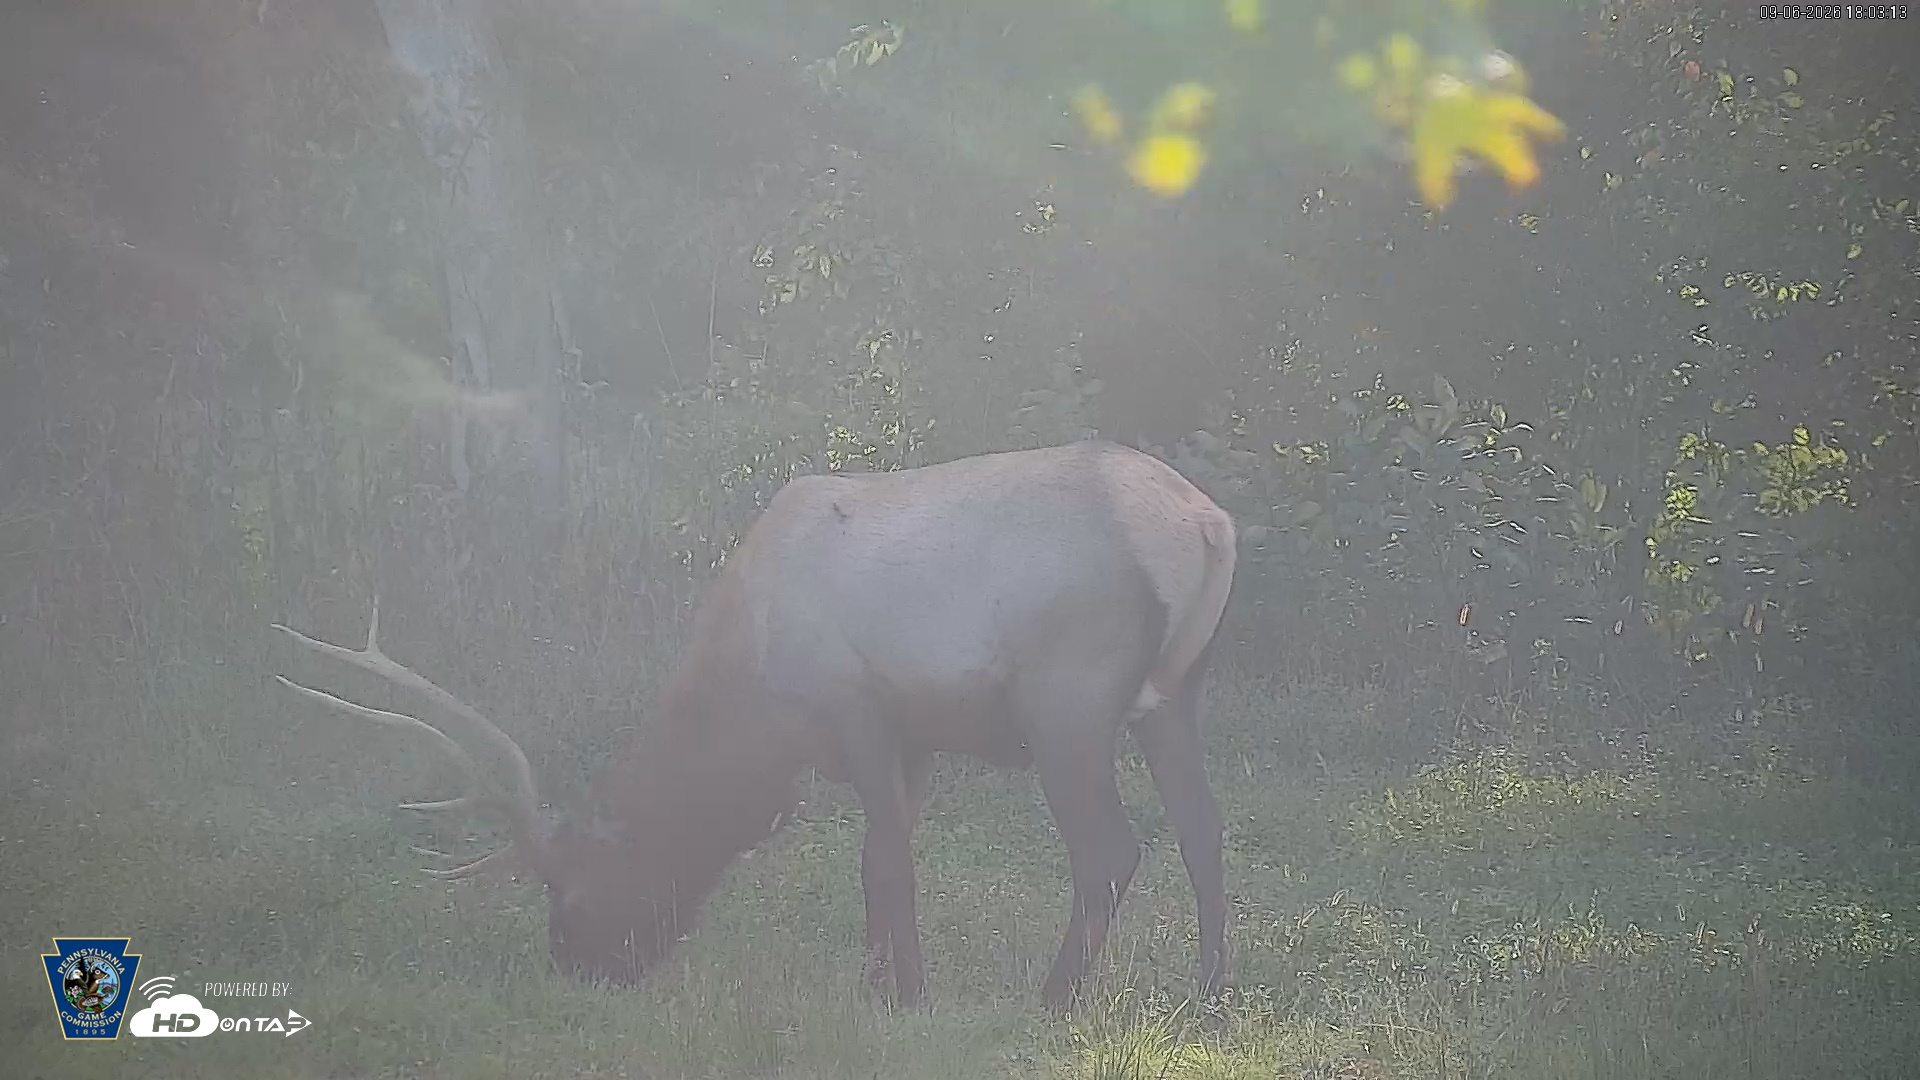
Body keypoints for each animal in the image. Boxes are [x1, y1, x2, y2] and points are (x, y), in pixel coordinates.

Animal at [273, 439, 1236, 1010]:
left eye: (572, 884)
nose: (575, 966)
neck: (751, 702)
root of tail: (1206, 525)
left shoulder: (855, 707)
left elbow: (883, 863)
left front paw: (901, 997)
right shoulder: (913, 738)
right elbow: (880, 863)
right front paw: (879, 983)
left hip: (1069, 699)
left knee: (1112, 850)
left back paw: (1055, 994)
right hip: (1176, 694)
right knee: (1201, 830)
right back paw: (1211, 996)